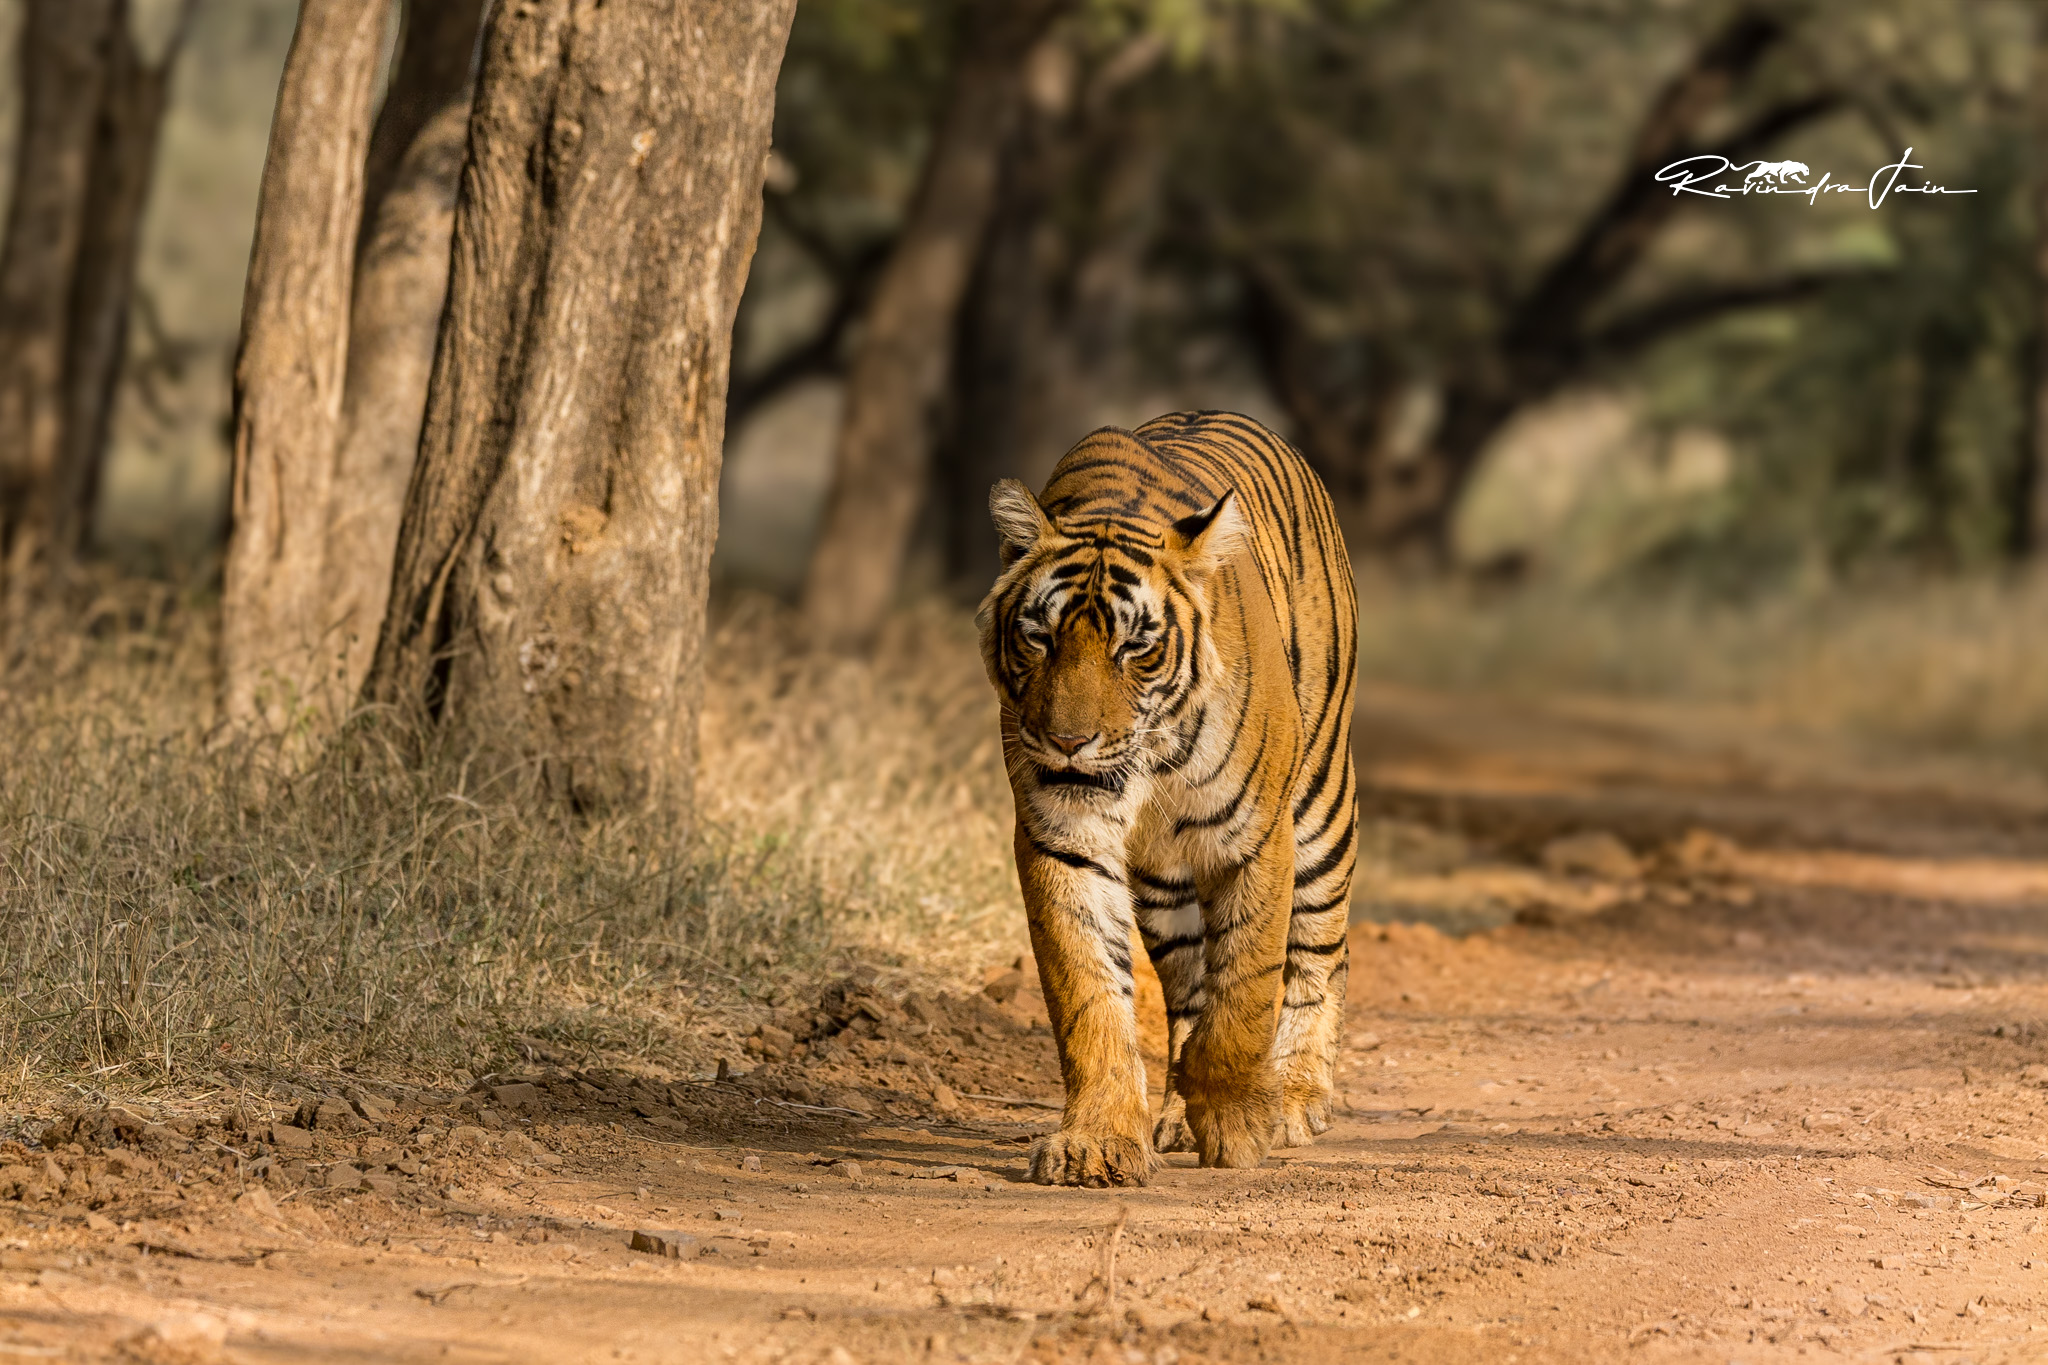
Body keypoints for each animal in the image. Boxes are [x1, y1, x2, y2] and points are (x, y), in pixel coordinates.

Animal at [976, 410, 1359, 1187]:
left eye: (1136, 648)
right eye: (1040, 637)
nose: (1069, 742)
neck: (1151, 760)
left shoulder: (1256, 838)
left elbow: (1246, 989)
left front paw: (1241, 1122)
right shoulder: (1065, 835)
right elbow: (1091, 992)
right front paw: (1096, 1142)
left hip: (1321, 805)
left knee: (1318, 952)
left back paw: (1296, 1095)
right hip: (1161, 879)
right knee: (1188, 988)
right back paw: (1183, 1111)